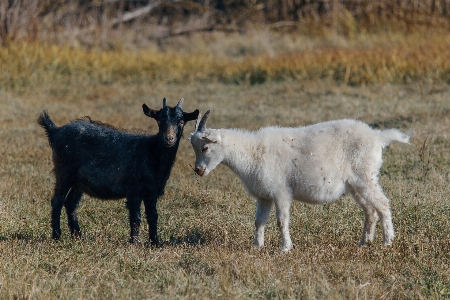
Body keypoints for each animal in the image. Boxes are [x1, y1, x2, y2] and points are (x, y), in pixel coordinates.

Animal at [37, 98, 200, 246]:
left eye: (181, 122)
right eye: (159, 121)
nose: (169, 139)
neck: (151, 151)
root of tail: (55, 131)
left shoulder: (152, 192)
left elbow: (153, 216)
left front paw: (155, 242)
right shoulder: (134, 190)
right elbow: (136, 217)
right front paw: (135, 242)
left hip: (79, 182)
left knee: (70, 203)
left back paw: (78, 236)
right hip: (64, 172)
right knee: (57, 200)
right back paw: (57, 236)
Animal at [190, 111, 412, 252]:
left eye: (205, 148)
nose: (198, 170)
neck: (252, 153)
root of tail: (378, 136)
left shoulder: (281, 192)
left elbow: (281, 221)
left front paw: (285, 248)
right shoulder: (264, 196)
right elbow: (259, 221)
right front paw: (257, 247)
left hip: (366, 177)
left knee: (383, 204)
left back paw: (387, 243)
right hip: (356, 184)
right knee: (369, 211)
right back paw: (364, 242)